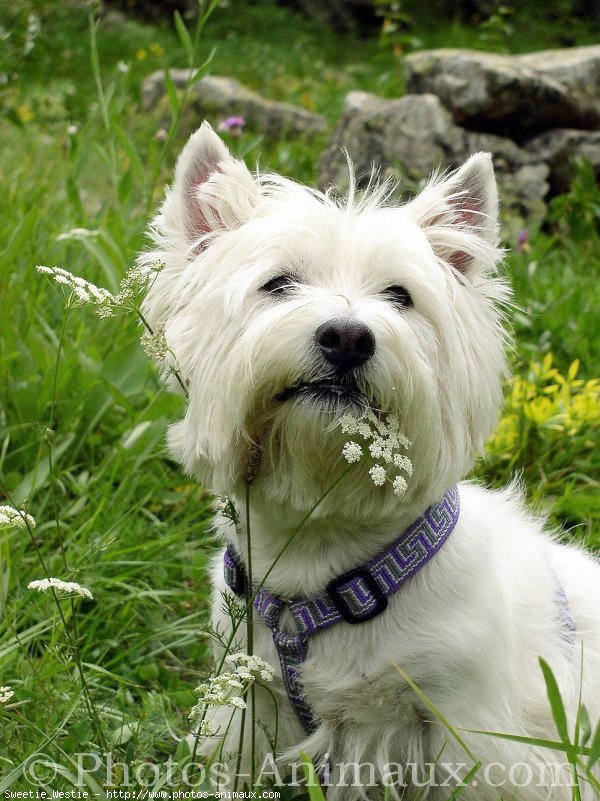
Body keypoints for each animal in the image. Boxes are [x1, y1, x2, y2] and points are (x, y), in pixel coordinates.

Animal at [141, 122, 600, 796]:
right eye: (278, 284)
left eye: (400, 296)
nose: (349, 337)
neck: (325, 557)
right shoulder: (250, 706)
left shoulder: (471, 729)